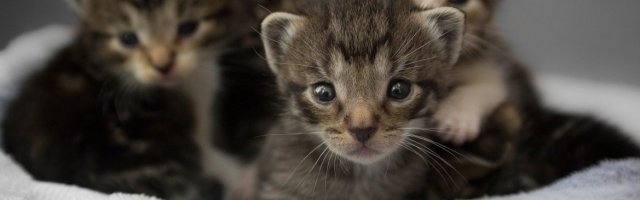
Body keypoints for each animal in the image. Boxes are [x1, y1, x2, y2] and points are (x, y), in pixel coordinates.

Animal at [1, 0, 248, 198]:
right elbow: (211, 156)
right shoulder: (192, 125)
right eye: (128, 39)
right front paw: (239, 173)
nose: (163, 66)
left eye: (188, 28)